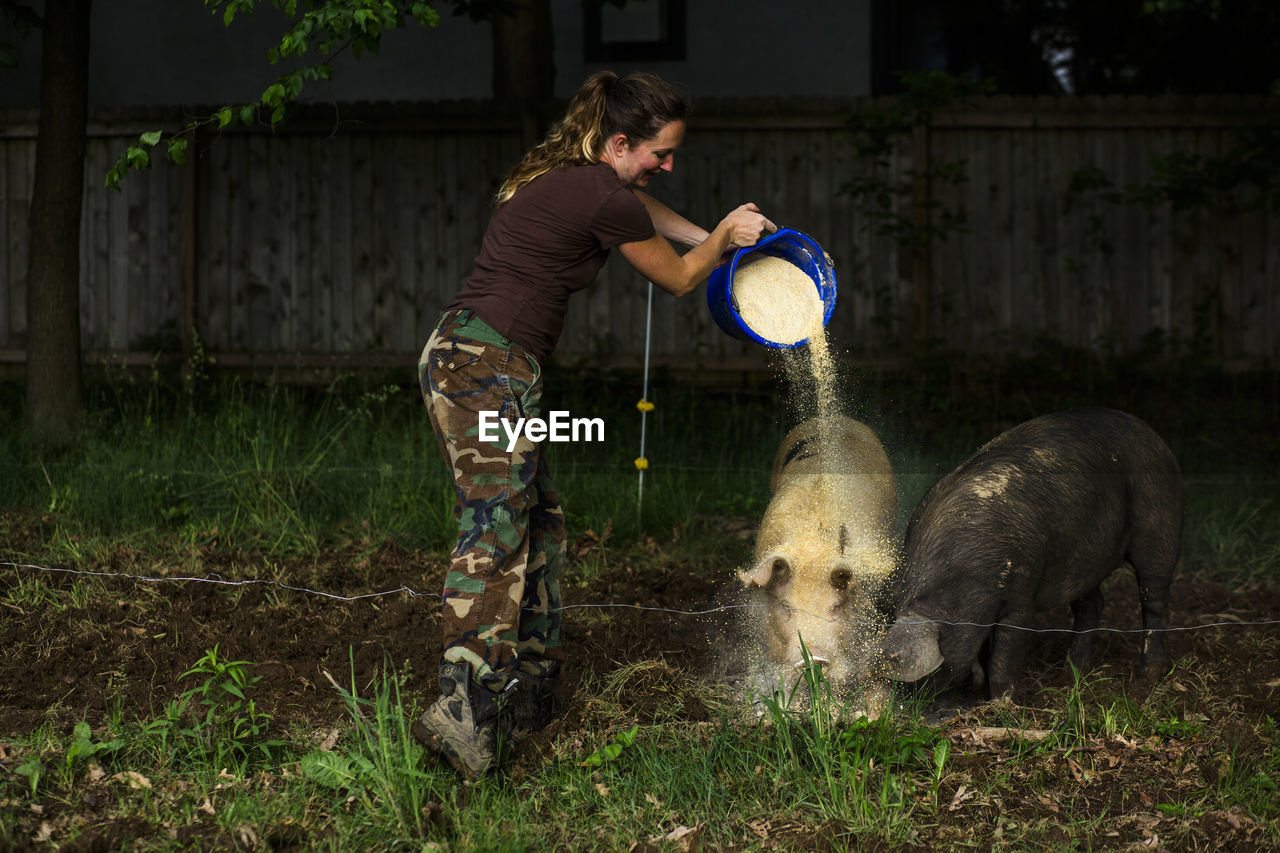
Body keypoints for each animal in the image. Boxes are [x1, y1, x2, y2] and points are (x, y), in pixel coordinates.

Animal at [880, 407, 1177, 696]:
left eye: (924, 679)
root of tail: (1151, 434)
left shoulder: (1021, 590)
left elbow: (1005, 654)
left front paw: (1002, 701)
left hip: (1158, 521)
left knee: (1154, 598)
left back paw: (1143, 682)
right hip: (1082, 561)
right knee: (1092, 604)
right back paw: (1070, 676)